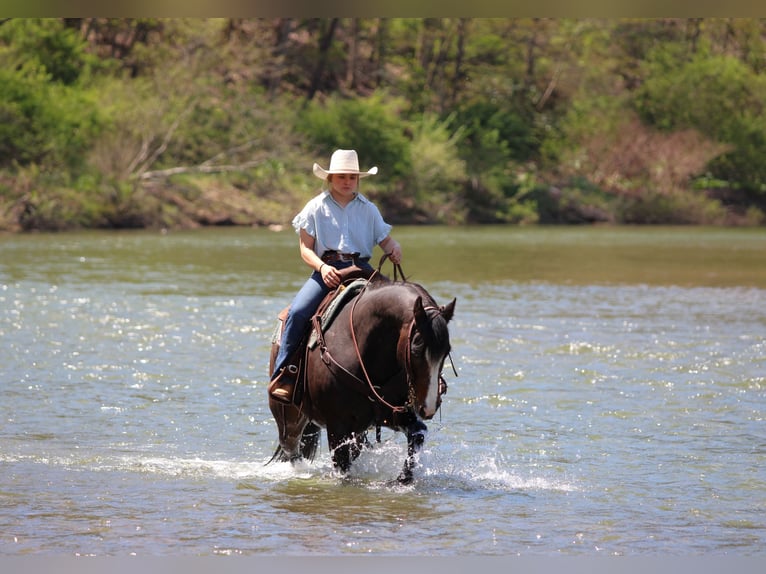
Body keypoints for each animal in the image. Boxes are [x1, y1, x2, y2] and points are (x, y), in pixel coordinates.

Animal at [267, 265, 456, 484]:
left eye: (446, 351)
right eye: (416, 348)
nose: (429, 407)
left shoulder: (390, 415)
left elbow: (417, 435)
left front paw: (402, 479)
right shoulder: (337, 426)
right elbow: (343, 468)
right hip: (288, 418)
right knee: (291, 448)